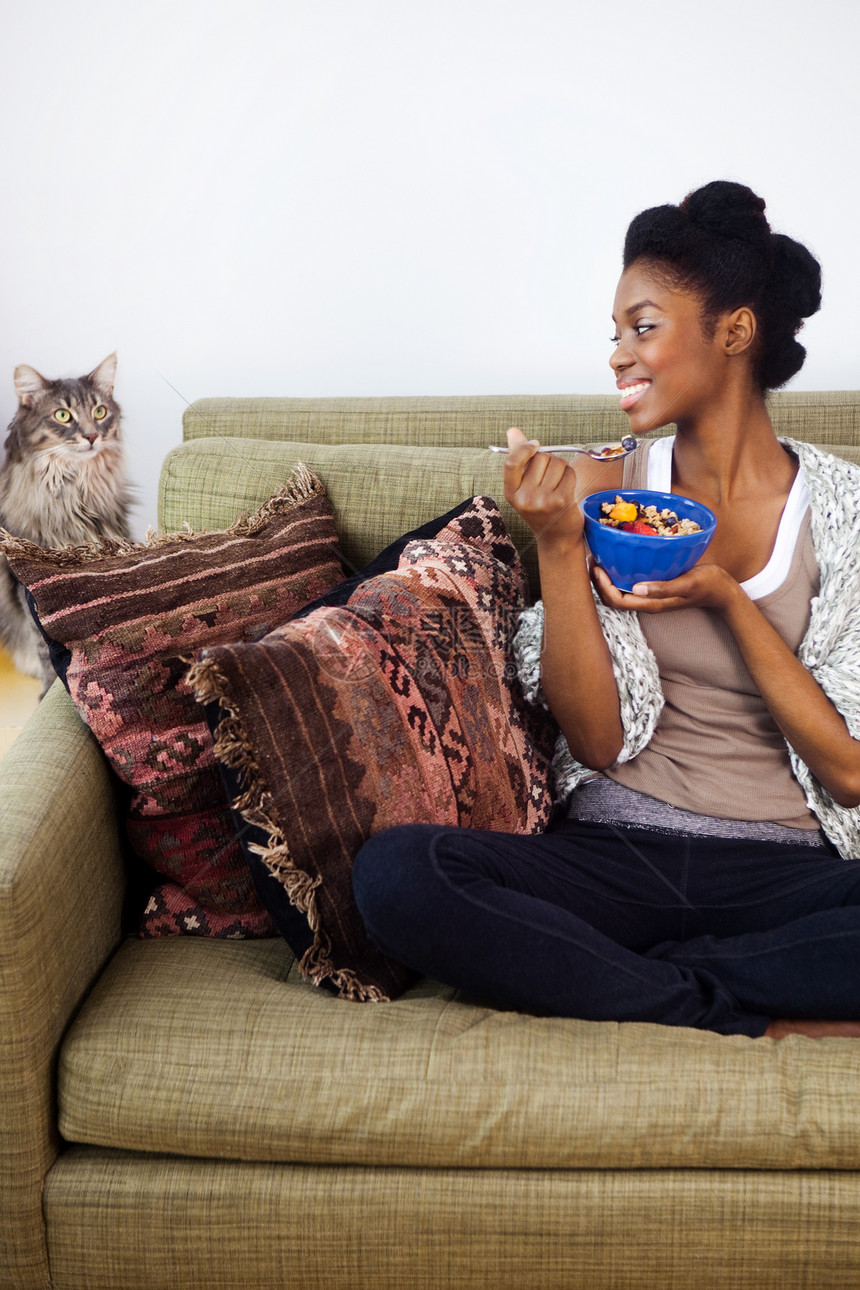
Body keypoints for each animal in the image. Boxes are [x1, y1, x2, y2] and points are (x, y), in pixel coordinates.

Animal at [0, 353, 132, 696]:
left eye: (100, 412)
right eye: (63, 415)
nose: (92, 436)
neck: (75, 492)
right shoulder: (25, 587)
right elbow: (46, 649)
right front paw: (49, 690)